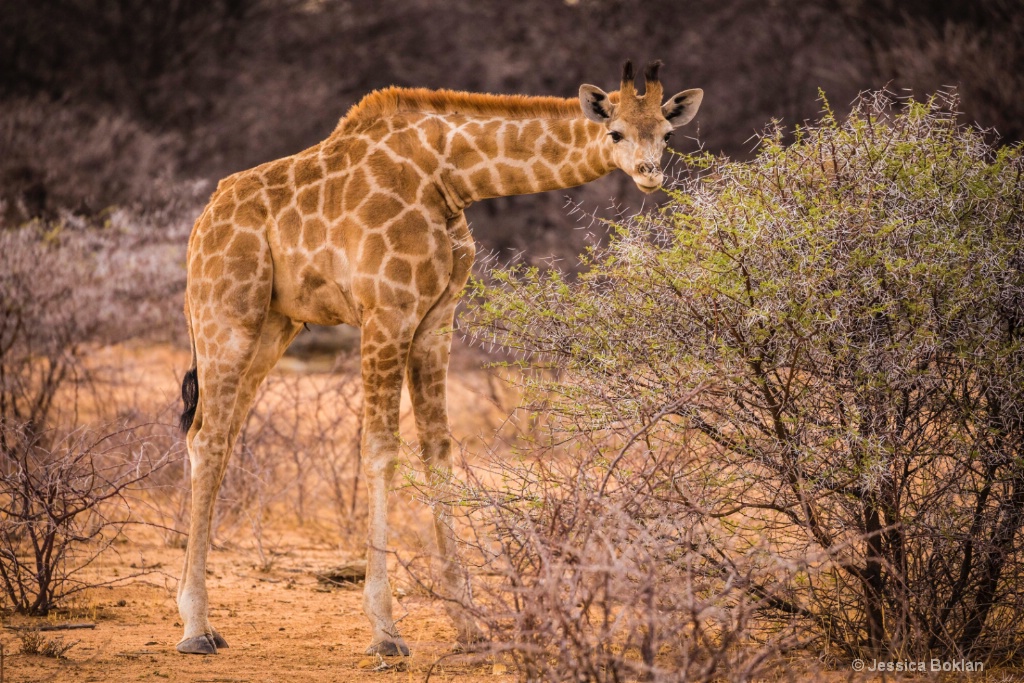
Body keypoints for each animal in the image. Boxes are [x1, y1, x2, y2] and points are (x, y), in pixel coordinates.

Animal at [178, 60, 704, 655]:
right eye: (614, 132)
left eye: (668, 135)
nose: (649, 174)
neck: (450, 176)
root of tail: (203, 219)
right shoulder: (386, 311)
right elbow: (380, 450)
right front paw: (385, 630)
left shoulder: (436, 319)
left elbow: (439, 450)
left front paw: (468, 625)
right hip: (226, 315)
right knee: (208, 437)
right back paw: (194, 628)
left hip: (273, 324)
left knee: (215, 435)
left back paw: (206, 622)